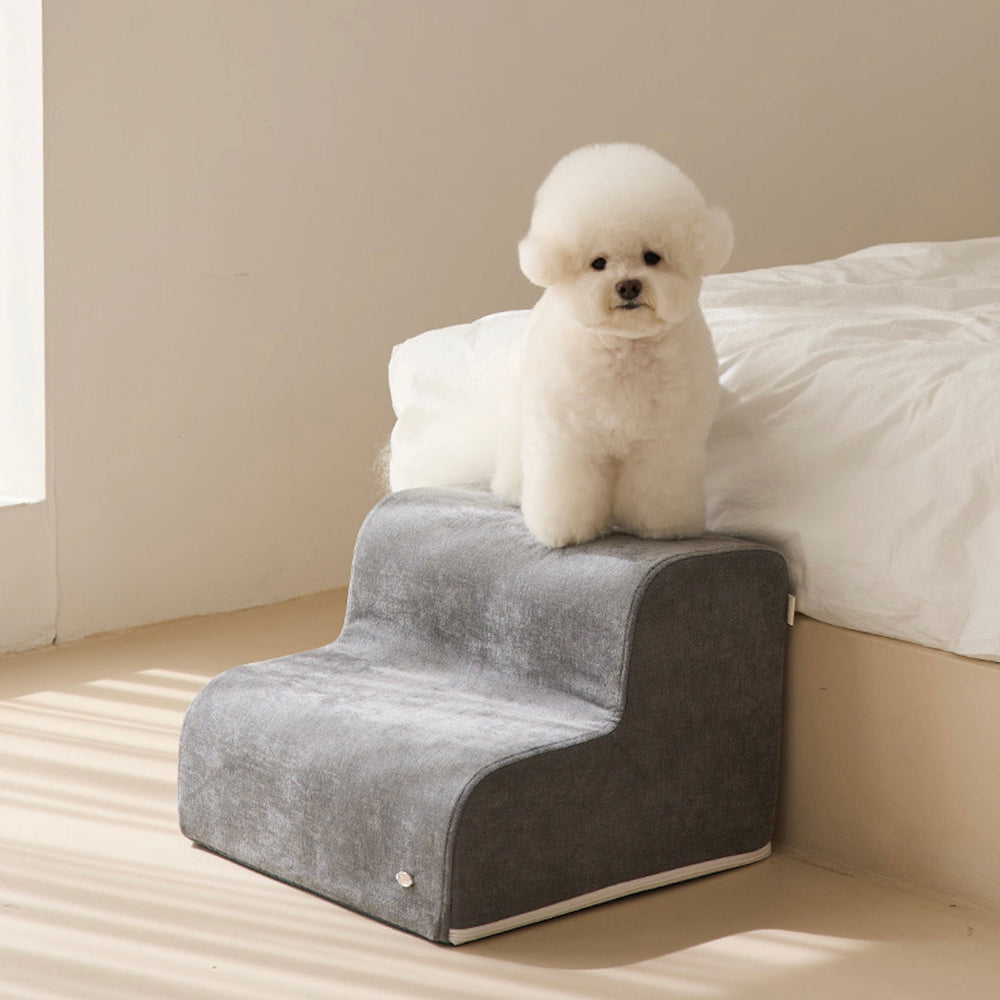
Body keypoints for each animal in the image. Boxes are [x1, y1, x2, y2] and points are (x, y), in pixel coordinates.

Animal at [491, 143, 733, 548]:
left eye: (652, 257)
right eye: (598, 263)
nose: (629, 286)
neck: (624, 347)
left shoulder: (663, 443)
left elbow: (658, 488)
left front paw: (662, 528)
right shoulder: (568, 440)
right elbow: (566, 487)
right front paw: (565, 531)